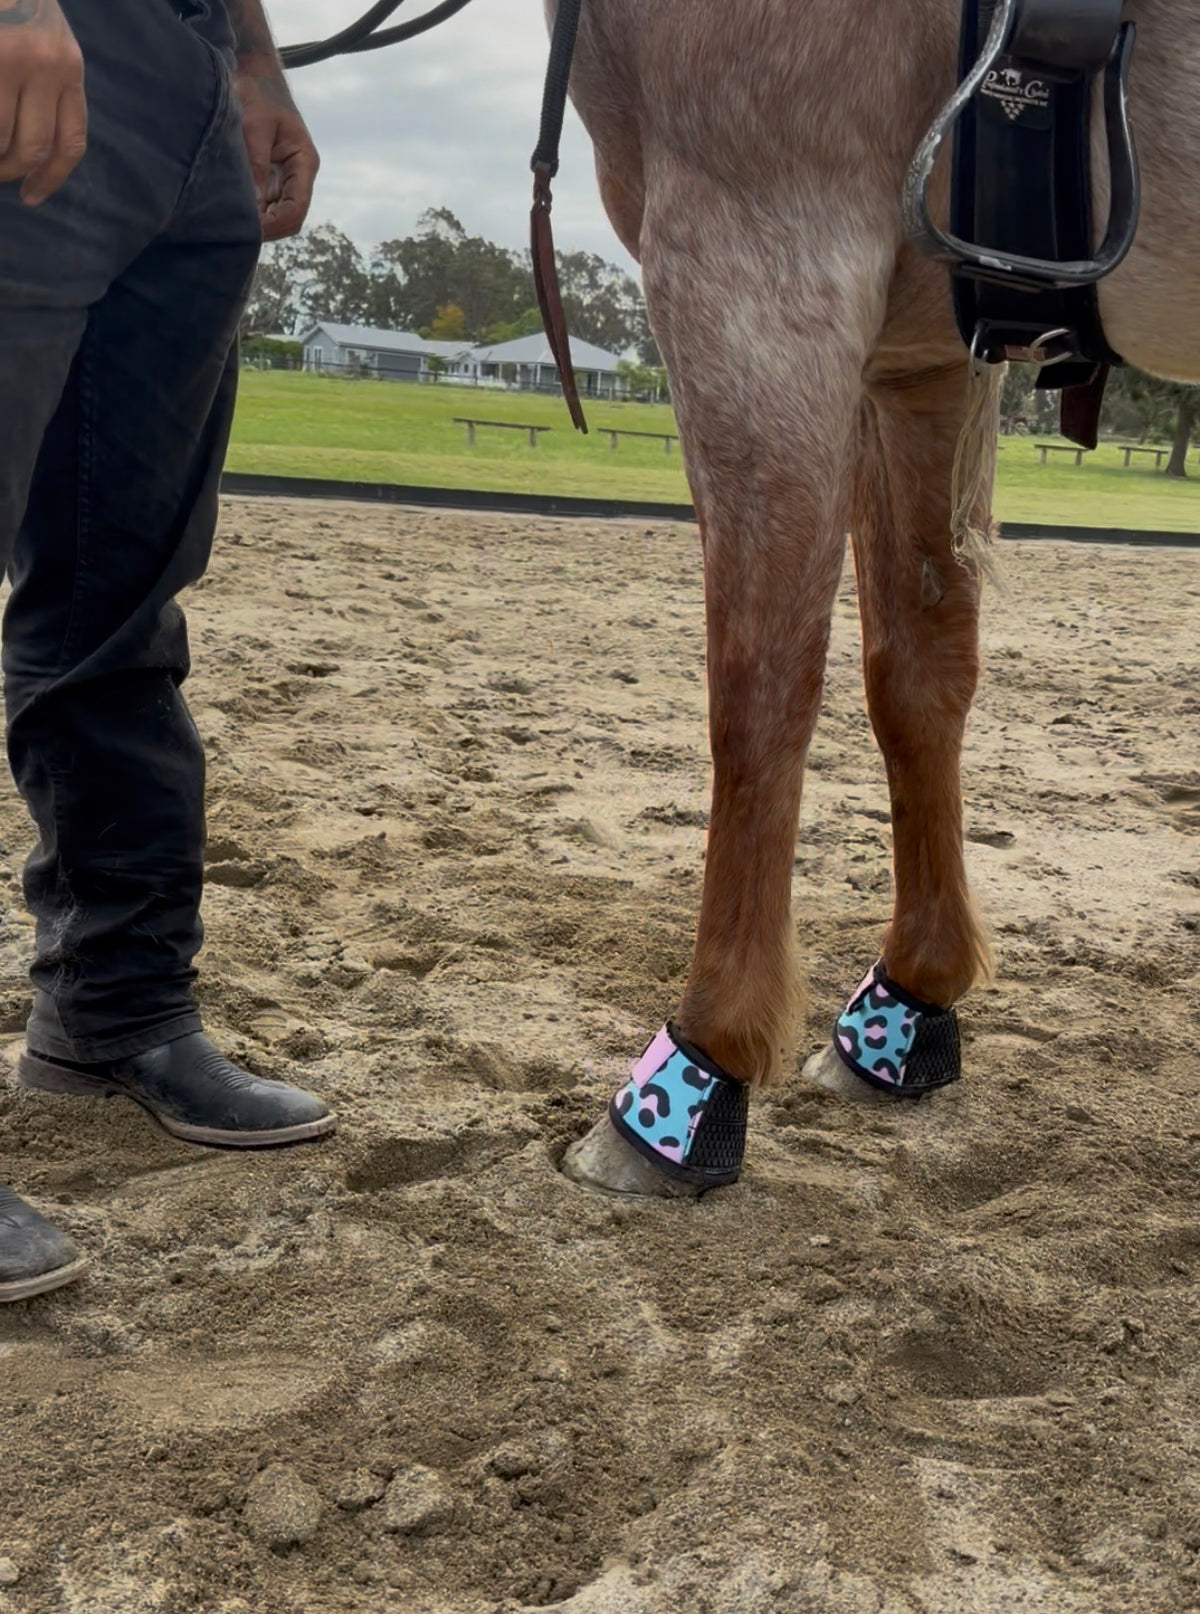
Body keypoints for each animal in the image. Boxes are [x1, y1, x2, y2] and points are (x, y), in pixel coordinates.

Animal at [555, 0, 1200, 1194]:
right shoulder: (922, 356)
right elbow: (917, 673)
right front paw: (911, 998)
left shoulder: (759, 263)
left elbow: (760, 689)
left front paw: (698, 1069)